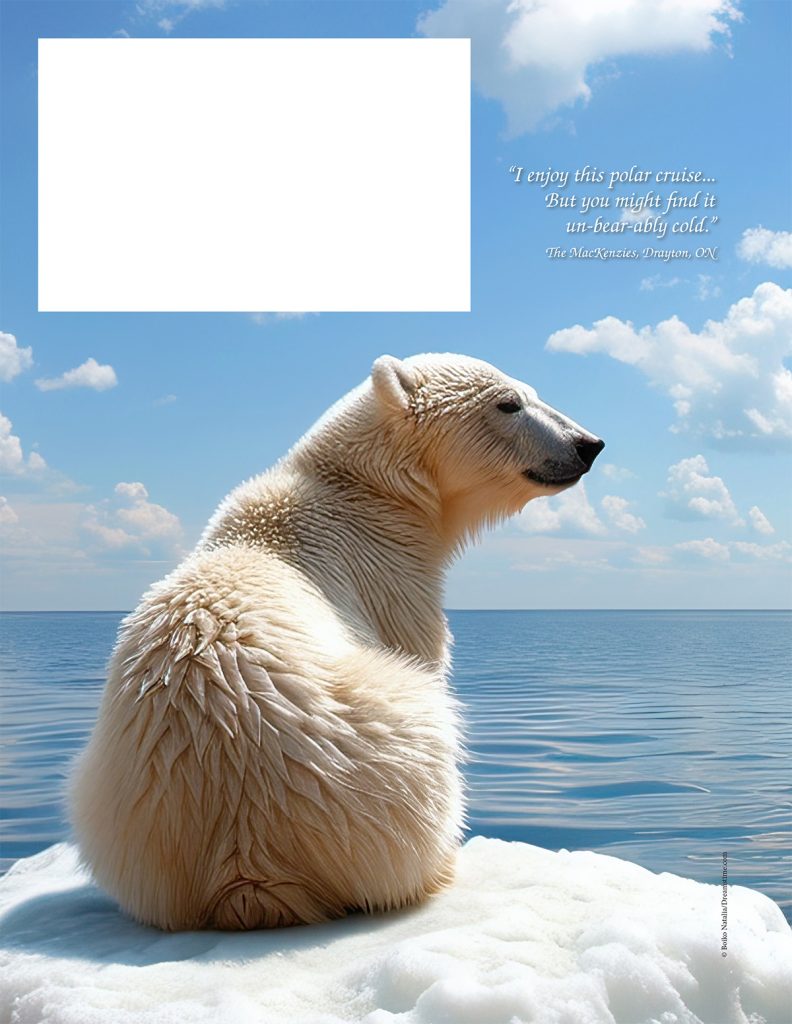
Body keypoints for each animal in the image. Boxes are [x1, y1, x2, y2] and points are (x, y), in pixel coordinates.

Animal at [69, 353, 603, 931]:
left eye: (532, 392)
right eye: (509, 403)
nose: (588, 444)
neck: (363, 492)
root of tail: (247, 872)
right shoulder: (391, 578)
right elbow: (422, 649)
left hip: (112, 808)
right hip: (378, 757)